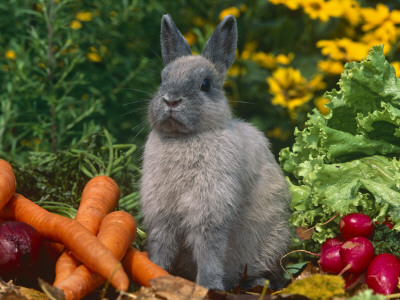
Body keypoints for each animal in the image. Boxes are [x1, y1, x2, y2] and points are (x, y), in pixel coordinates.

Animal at [141, 13, 290, 290]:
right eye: (163, 79)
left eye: (205, 84)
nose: (171, 100)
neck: (184, 138)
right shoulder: (161, 213)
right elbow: (161, 244)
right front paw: (156, 271)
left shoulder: (210, 211)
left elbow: (209, 249)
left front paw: (208, 286)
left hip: (274, 242)